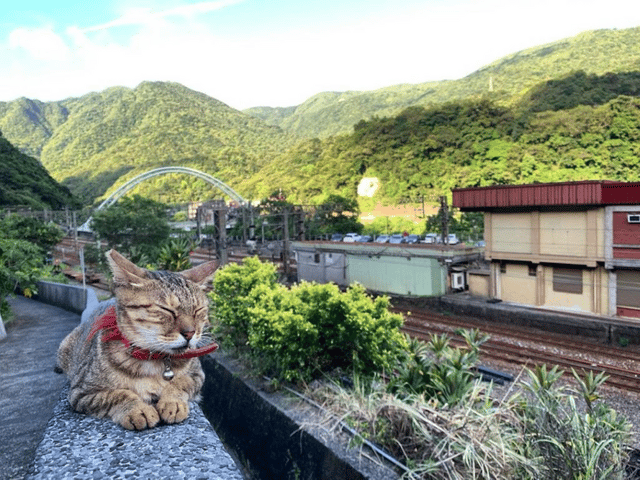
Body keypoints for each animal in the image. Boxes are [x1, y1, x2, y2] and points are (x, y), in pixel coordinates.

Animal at [56, 249, 219, 430]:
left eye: (198, 310)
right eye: (166, 310)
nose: (190, 333)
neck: (154, 361)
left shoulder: (198, 375)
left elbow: (180, 382)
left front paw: (172, 402)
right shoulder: (81, 392)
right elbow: (117, 395)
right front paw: (138, 409)